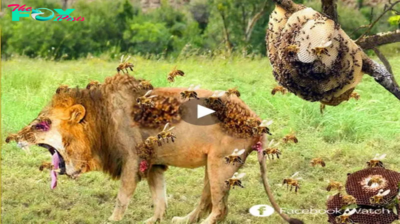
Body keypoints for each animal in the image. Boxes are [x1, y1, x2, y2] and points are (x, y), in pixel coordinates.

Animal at [6, 74, 302, 224]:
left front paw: (112, 220)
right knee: (206, 202)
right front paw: (153, 220)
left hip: (222, 163)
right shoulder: (153, 163)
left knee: (220, 209)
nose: (17, 137)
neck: (98, 120)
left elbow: (122, 197)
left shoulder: (132, 159)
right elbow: (159, 198)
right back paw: (184, 220)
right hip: (213, 164)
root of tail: (256, 120)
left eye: (40, 125)